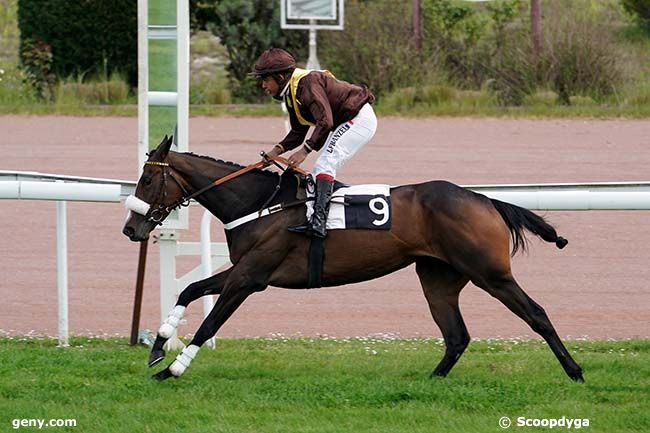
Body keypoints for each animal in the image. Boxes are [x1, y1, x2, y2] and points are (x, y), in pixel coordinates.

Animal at [121, 136, 584, 382]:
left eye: (147, 179)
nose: (130, 229)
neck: (258, 203)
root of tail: (485, 200)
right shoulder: (246, 272)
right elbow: (189, 288)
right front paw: (158, 345)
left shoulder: (251, 276)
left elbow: (210, 322)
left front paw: (172, 370)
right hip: (438, 277)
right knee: (457, 336)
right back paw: (431, 382)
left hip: (490, 273)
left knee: (537, 314)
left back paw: (575, 371)